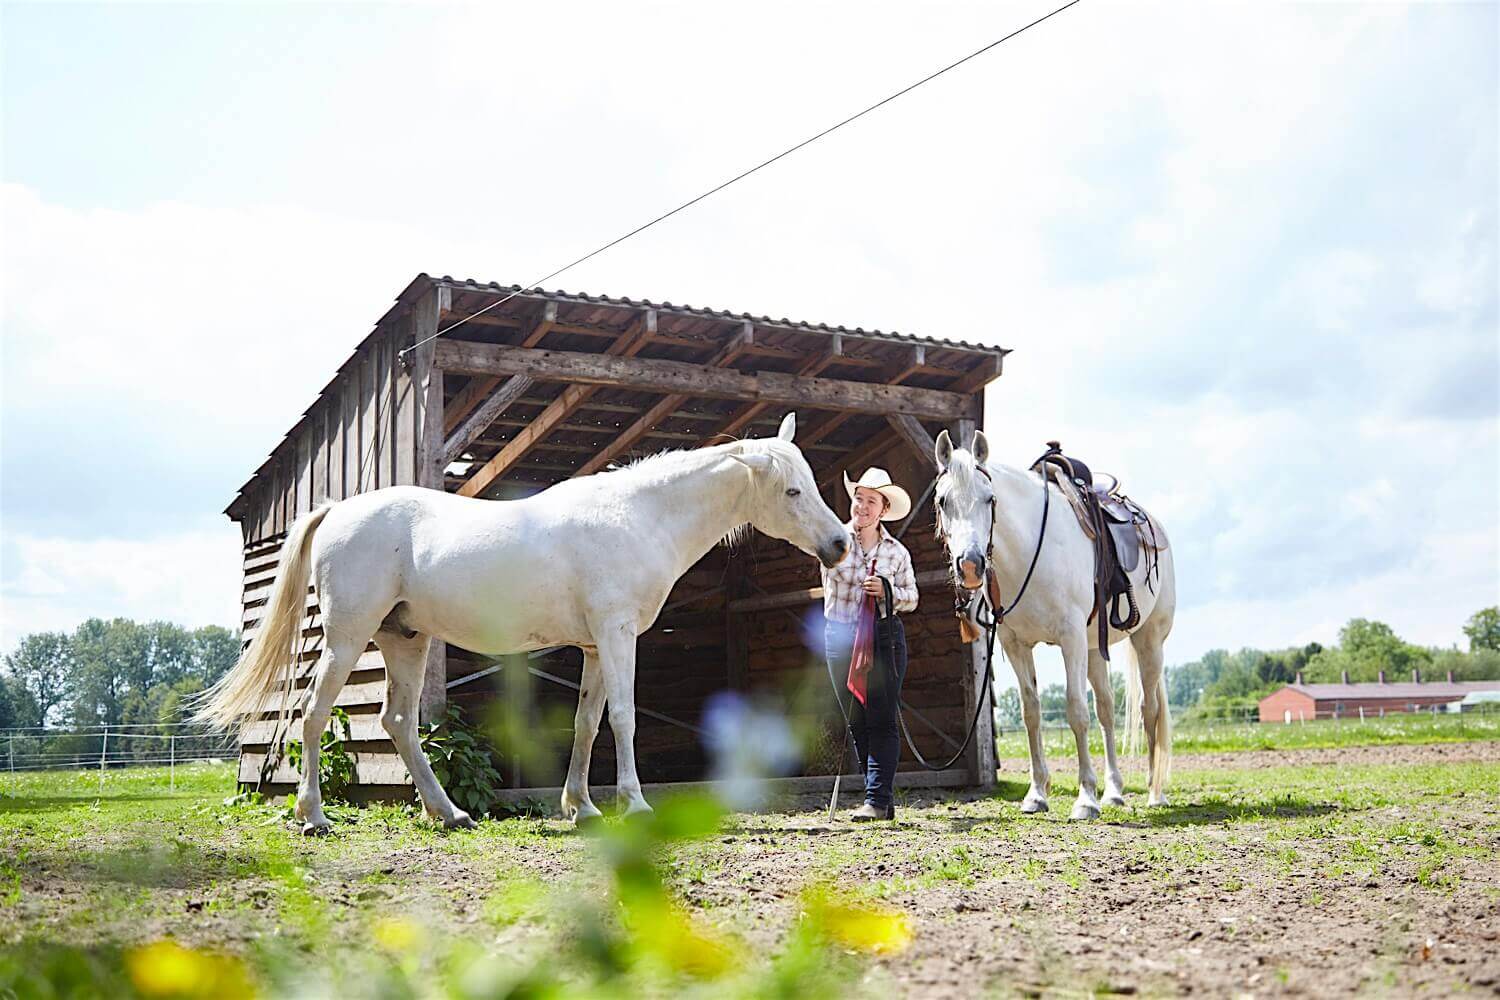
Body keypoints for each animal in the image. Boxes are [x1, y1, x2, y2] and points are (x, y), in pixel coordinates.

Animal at [198, 413, 848, 834]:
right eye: (792, 491)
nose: (840, 544)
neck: (638, 516)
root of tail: (338, 510)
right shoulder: (616, 636)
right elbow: (624, 719)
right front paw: (635, 807)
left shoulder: (594, 646)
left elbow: (587, 724)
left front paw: (582, 809)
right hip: (347, 637)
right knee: (314, 716)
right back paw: (312, 817)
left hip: (405, 639)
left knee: (399, 723)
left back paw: (450, 814)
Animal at [931, 430, 1175, 819]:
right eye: (942, 501)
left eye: (990, 499)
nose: (970, 565)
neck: (1032, 550)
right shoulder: (1017, 645)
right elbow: (1032, 713)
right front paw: (1036, 795)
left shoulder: (1070, 639)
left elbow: (1076, 710)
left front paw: (1086, 798)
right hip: (1095, 650)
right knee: (1107, 709)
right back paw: (1114, 792)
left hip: (1148, 640)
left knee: (1148, 709)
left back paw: (1154, 793)